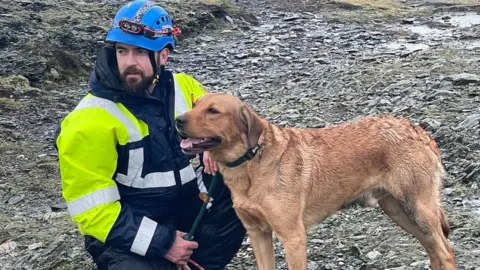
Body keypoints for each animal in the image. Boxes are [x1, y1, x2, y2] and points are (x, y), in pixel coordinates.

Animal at [175, 92, 458, 268]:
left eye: (213, 111)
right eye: (195, 103)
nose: (177, 120)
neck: (250, 163)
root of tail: (419, 131)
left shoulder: (293, 237)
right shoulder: (258, 233)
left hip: (418, 209)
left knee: (446, 252)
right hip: (398, 211)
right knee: (434, 250)